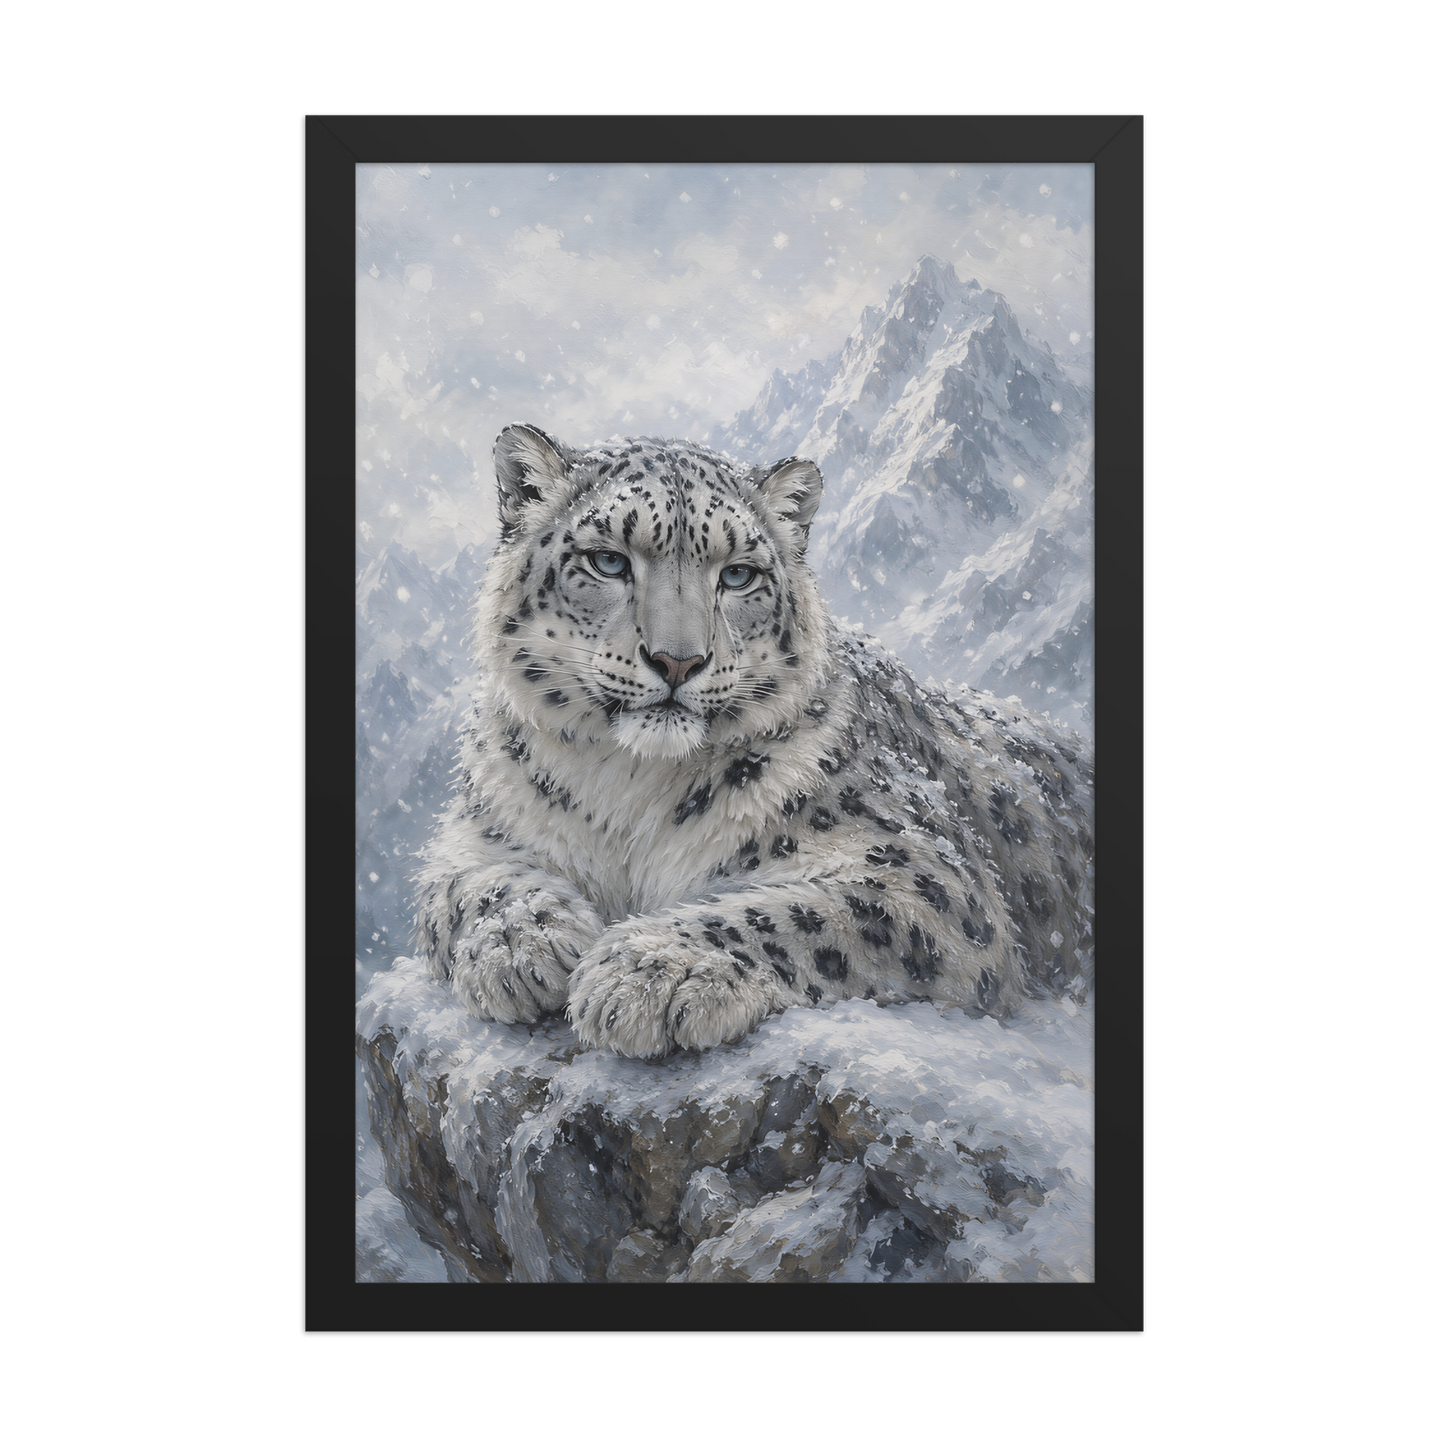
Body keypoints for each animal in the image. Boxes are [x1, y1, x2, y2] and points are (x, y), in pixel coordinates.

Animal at [413, 423, 1094, 1058]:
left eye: (738, 575)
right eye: (608, 560)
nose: (679, 660)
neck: (626, 788)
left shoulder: (924, 876)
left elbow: (796, 912)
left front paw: (648, 971)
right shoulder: (478, 832)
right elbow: (467, 886)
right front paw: (522, 945)